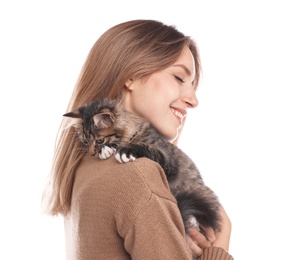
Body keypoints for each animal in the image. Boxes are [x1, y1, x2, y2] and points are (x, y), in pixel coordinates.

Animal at [64, 99, 223, 240]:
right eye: (85, 141)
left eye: (99, 140)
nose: (91, 153)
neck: (134, 132)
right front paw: (107, 150)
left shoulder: (169, 160)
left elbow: (147, 148)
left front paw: (124, 150)